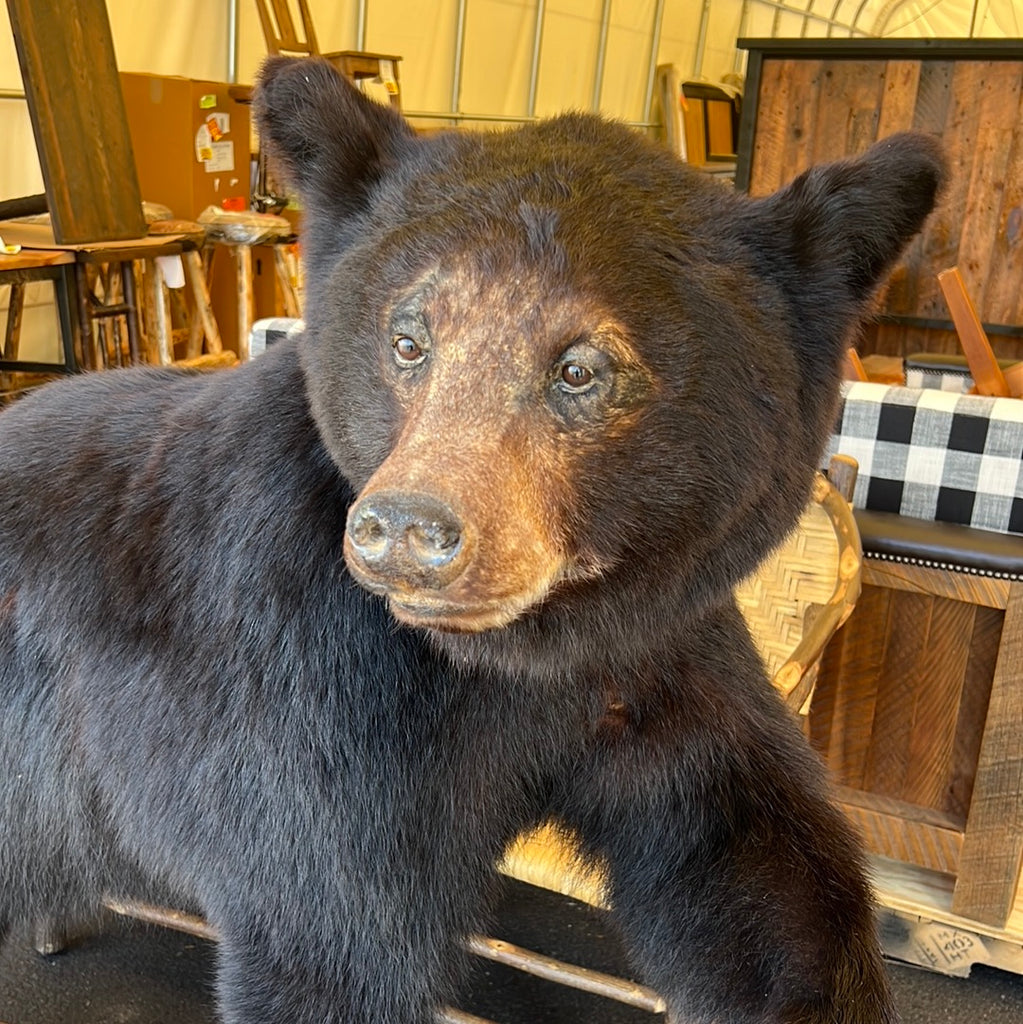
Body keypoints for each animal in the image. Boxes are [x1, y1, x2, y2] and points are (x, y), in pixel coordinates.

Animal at [0, 55, 944, 1024]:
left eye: (579, 368)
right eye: (408, 339)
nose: (407, 529)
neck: (512, 657)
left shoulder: (657, 654)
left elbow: (759, 852)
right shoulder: (300, 692)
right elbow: (327, 925)